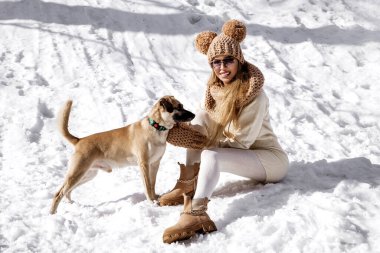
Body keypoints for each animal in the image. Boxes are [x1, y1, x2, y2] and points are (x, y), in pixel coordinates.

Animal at [49, 96, 196, 214]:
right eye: (179, 107)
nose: (194, 115)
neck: (156, 127)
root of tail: (79, 140)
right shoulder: (144, 164)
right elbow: (147, 186)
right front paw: (151, 202)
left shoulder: (155, 164)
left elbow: (152, 184)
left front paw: (155, 198)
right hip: (77, 172)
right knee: (58, 193)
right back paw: (52, 213)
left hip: (87, 174)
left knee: (67, 191)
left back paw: (70, 204)